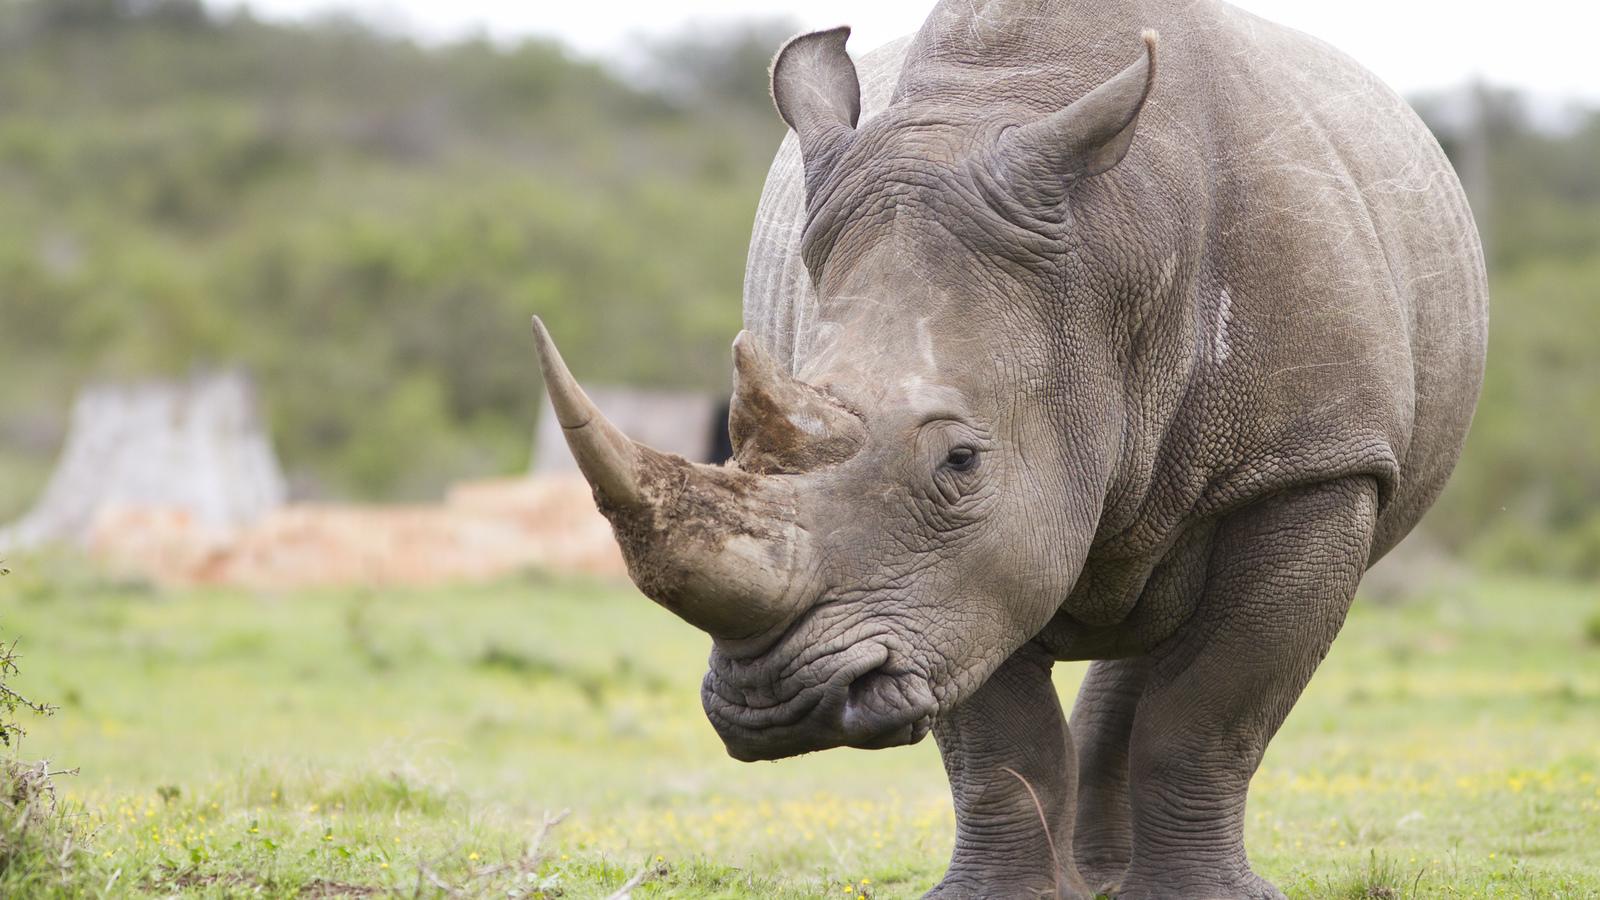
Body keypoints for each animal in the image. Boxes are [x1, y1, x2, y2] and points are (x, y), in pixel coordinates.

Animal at [530, 0, 1486, 895]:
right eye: (728, 442)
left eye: (961, 461)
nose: (777, 704)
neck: (1112, 265)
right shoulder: (946, 585)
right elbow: (999, 738)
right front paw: (997, 894)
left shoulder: (1313, 463)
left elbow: (1212, 710)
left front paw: (1211, 897)